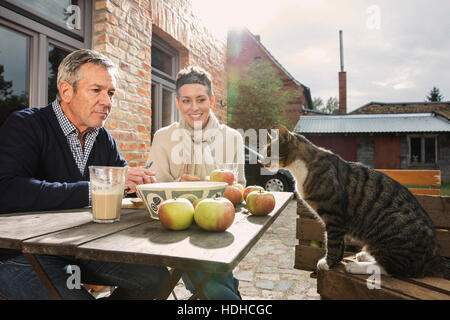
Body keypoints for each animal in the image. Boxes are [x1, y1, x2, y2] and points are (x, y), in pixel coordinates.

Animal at [266, 125, 450, 278]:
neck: (301, 169)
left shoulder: (334, 217)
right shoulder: (333, 221)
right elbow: (338, 243)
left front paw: (328, 263)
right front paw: (335, 261)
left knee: (393, 268)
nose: (261, 161)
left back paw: (357, 266)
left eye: (269, 151)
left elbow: (333, 243)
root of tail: (435, 257)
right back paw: (364, 255)